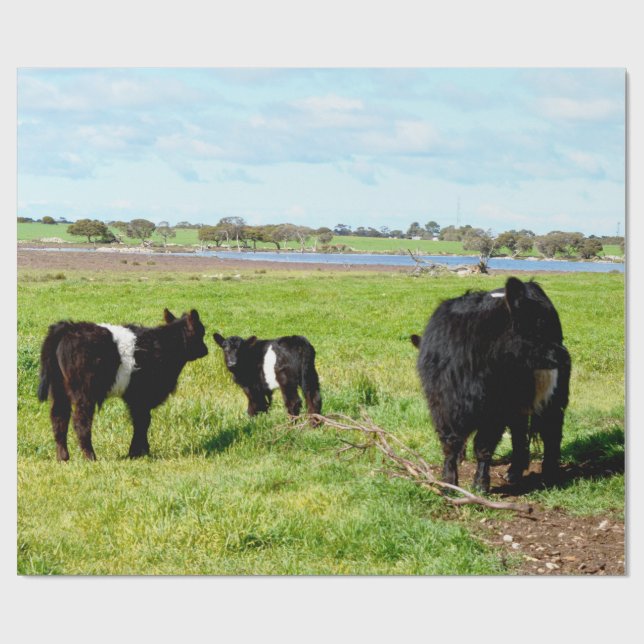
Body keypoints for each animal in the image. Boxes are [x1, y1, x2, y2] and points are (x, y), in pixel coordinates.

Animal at [37, 309, 208, 461]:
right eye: (201, 332)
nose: (205, 350)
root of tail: (68, 327)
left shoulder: (135, 399)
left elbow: (140, 422)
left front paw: (141, 451)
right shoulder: (141, 396)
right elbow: (143, 422)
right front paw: (137, 452)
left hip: (58, 389)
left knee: (58, 418)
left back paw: (62, 457)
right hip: (84, 392)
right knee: (81, 422)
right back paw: (90, 457)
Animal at [414, 277, 570, 492]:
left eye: (548, 323)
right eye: (538, 324)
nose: (565, 355)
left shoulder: (495, 411)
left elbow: (483, 446)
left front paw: (480, 484)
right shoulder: (442, 406)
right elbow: (450, 445)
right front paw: (448, 483)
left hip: (554, 397)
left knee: (551, 431)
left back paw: (549, 473)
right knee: (520, 433)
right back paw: (514, 472)